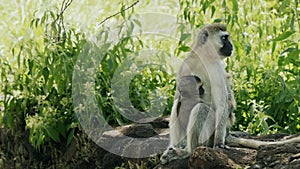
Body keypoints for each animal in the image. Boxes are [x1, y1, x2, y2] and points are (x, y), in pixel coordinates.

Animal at [161, 23, 236, 164]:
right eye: (224, 38)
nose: (231, 45)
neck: (203, 58)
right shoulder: (185, 64)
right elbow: (180, 95)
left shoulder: (217, 68)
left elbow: (221, 104)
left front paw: (219, 143)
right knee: (178, 103)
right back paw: (176, 148)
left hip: (209, 134)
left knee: (201, 109)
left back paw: (189, 151)